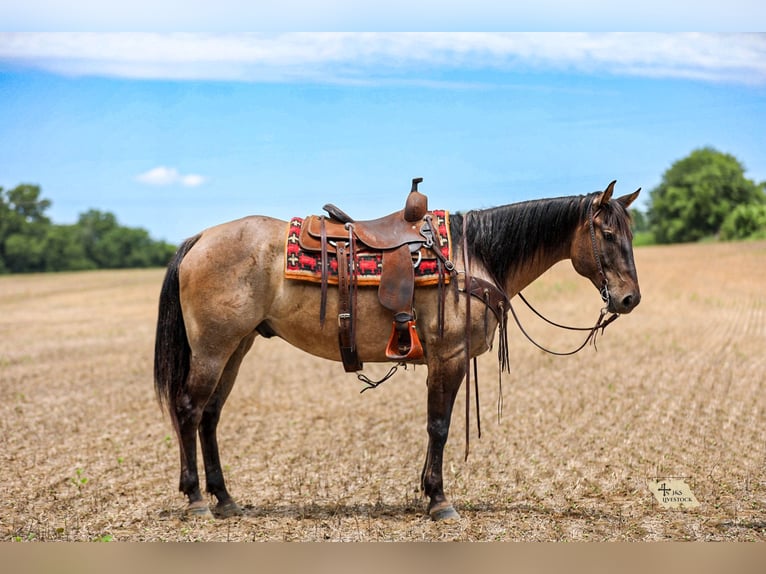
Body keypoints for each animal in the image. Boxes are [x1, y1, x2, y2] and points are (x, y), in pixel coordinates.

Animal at [153, 180, 641, 521]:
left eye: (631, 235)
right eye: (607, 233)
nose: (629, 299)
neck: (473, 257)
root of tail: (200, 239)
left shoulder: (440, 363)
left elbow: (434, 428)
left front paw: (427, 492)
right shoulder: (449, 358)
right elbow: (439, 427)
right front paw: (440, 500)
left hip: (237, 347)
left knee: (210, 415)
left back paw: (225, 499)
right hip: (213, 348)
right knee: (189, 410)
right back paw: (196, 499)